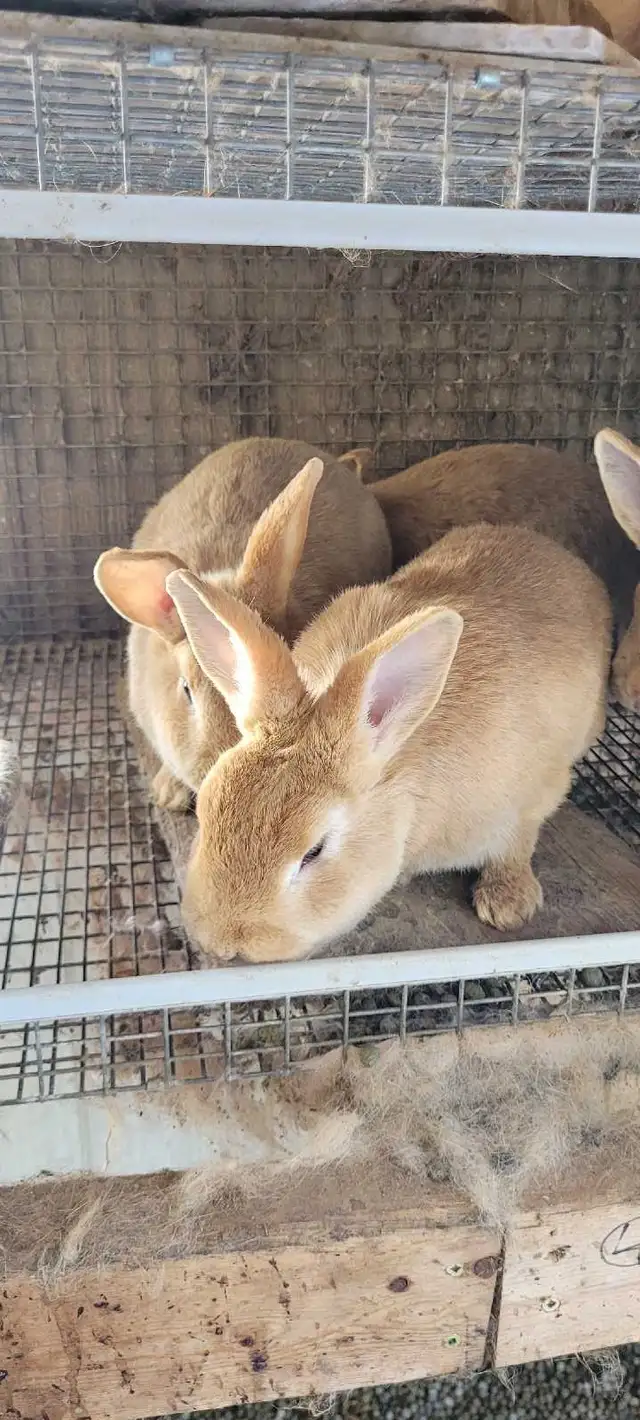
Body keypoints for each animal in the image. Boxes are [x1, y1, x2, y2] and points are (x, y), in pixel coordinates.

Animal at [167, 510, 612, 964]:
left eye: (314, 851)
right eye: (204, 810)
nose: (223, 941)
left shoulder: (530, 800)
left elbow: (517, 846)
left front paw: (508, 905)